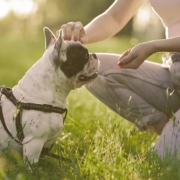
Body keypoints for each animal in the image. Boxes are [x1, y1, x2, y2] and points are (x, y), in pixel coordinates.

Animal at [0, 27, 99, 168]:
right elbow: (32, 166)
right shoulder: (34, 144)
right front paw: (35, 172)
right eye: (85, 55)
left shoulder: (45, 145)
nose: (95, 55)